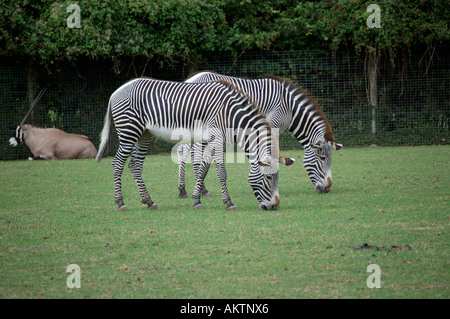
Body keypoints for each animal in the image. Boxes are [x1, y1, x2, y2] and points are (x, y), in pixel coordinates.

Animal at [95, 78, 280, 212]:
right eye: (269, 177)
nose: (274, 206)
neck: (229, 113)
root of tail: (115, 92)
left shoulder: (207, 139)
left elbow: (202, 170)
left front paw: (197, 200)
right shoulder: (217, 138)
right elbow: (221, 172)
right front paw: (228, 202)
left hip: (144, 134)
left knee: (135, 165)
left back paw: (149, 201)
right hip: (129, 131)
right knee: (117, 164)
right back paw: (120, 203)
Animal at [176, 72, 342, 198]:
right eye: (322, 158)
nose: (327, 188)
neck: (290, 109)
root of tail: (191, 79)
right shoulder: (272, 126)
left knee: (183, 150)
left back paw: (184, 189)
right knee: (194, 153)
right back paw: (201, 190)